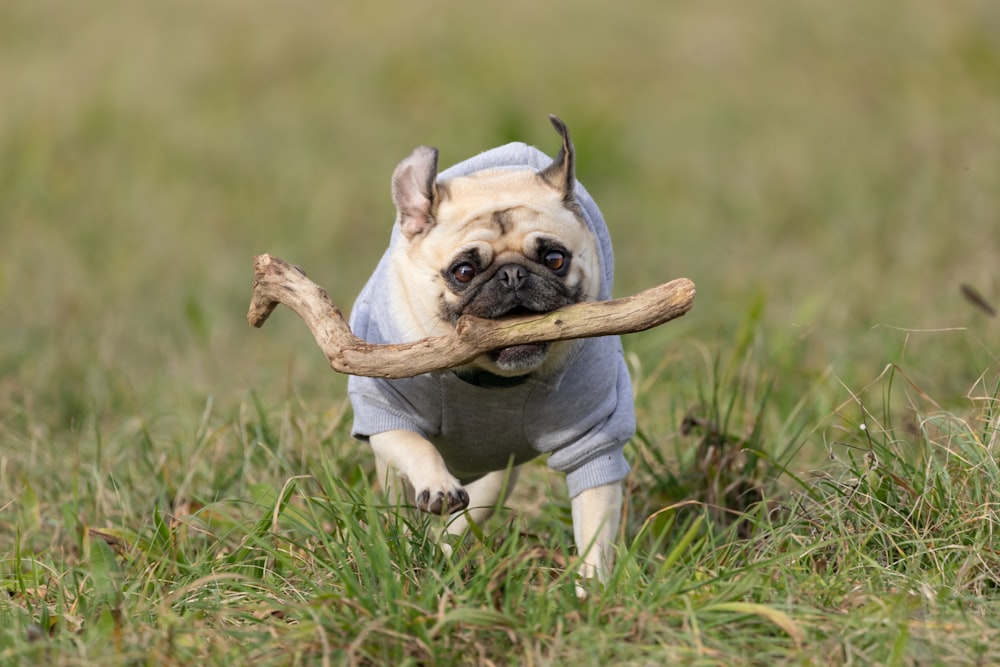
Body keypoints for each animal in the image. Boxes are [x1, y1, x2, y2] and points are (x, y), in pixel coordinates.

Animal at [348, 117, 636, 588]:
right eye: (464, 272)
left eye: (555, 259)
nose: (513, 275)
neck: (489, 380)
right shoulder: (385, 413)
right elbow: (417, 447)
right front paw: (438, 485)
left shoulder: (595, 441)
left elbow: (595, 524)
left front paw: (591, 586)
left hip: (499, 475)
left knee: (468, 516)